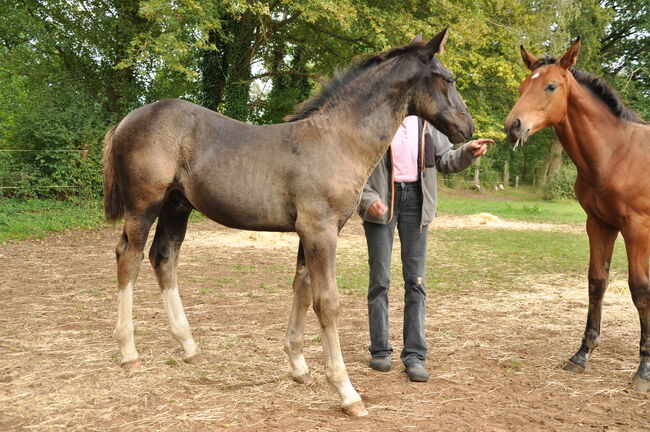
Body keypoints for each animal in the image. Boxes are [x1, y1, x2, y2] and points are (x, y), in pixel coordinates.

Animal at [104, 27, 474, 416]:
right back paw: (129, 354)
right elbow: (326, 301)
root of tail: (127, 120)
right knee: (129, 258)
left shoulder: (312, 232)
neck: (337, 139)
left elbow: (302, 288)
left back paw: (189, 347)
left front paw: (298, 366)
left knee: (163, 258)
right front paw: (346, 392)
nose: (468, 127)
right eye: (448, 78)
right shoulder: (320, 231)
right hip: (144, 206)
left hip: (177, 206)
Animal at [504, 38, 648, 394]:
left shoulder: (637, 228)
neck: (617, 153)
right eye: (522, 86)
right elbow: (597, 282)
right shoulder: (599, 224)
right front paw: (582, 354)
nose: (513, 127)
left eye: (551, 86)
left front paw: (644, 369)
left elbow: (640, 289)